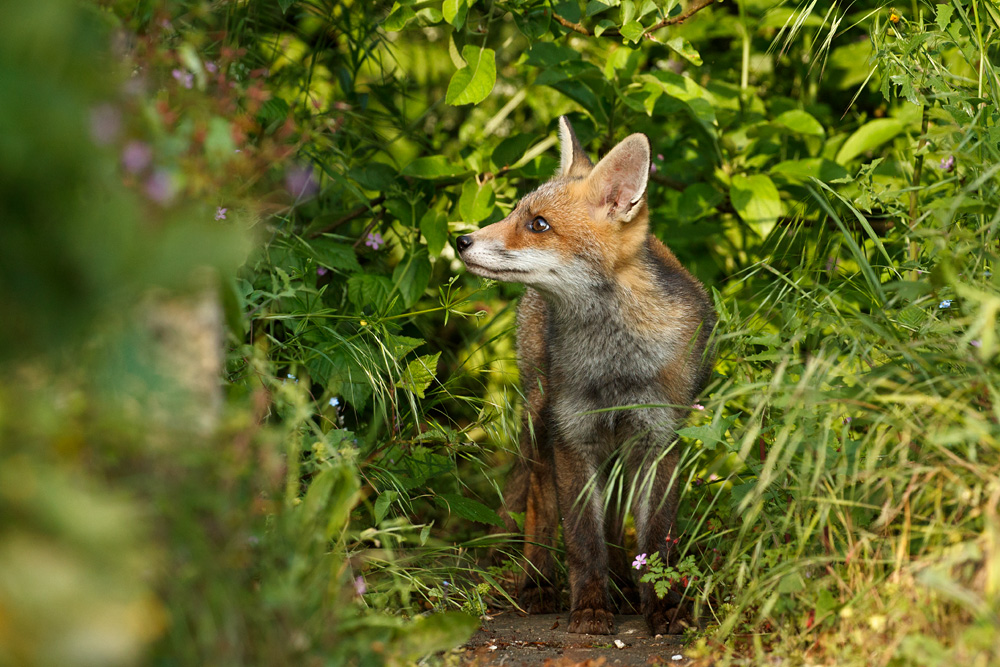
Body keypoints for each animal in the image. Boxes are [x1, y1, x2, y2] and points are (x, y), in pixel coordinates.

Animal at [457, 117, 715, 636]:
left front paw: (661, 607)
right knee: (540, 507)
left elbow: (655, 540)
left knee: (614, 521)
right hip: (543, 422)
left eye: (538, 224)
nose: (462, 241)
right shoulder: (573, 435)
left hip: (613, 447)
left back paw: (623, 584)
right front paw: (592, 607)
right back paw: (538, 586)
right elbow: (581, 538)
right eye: (514, 212)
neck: (614, 361)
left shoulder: (658, 440)